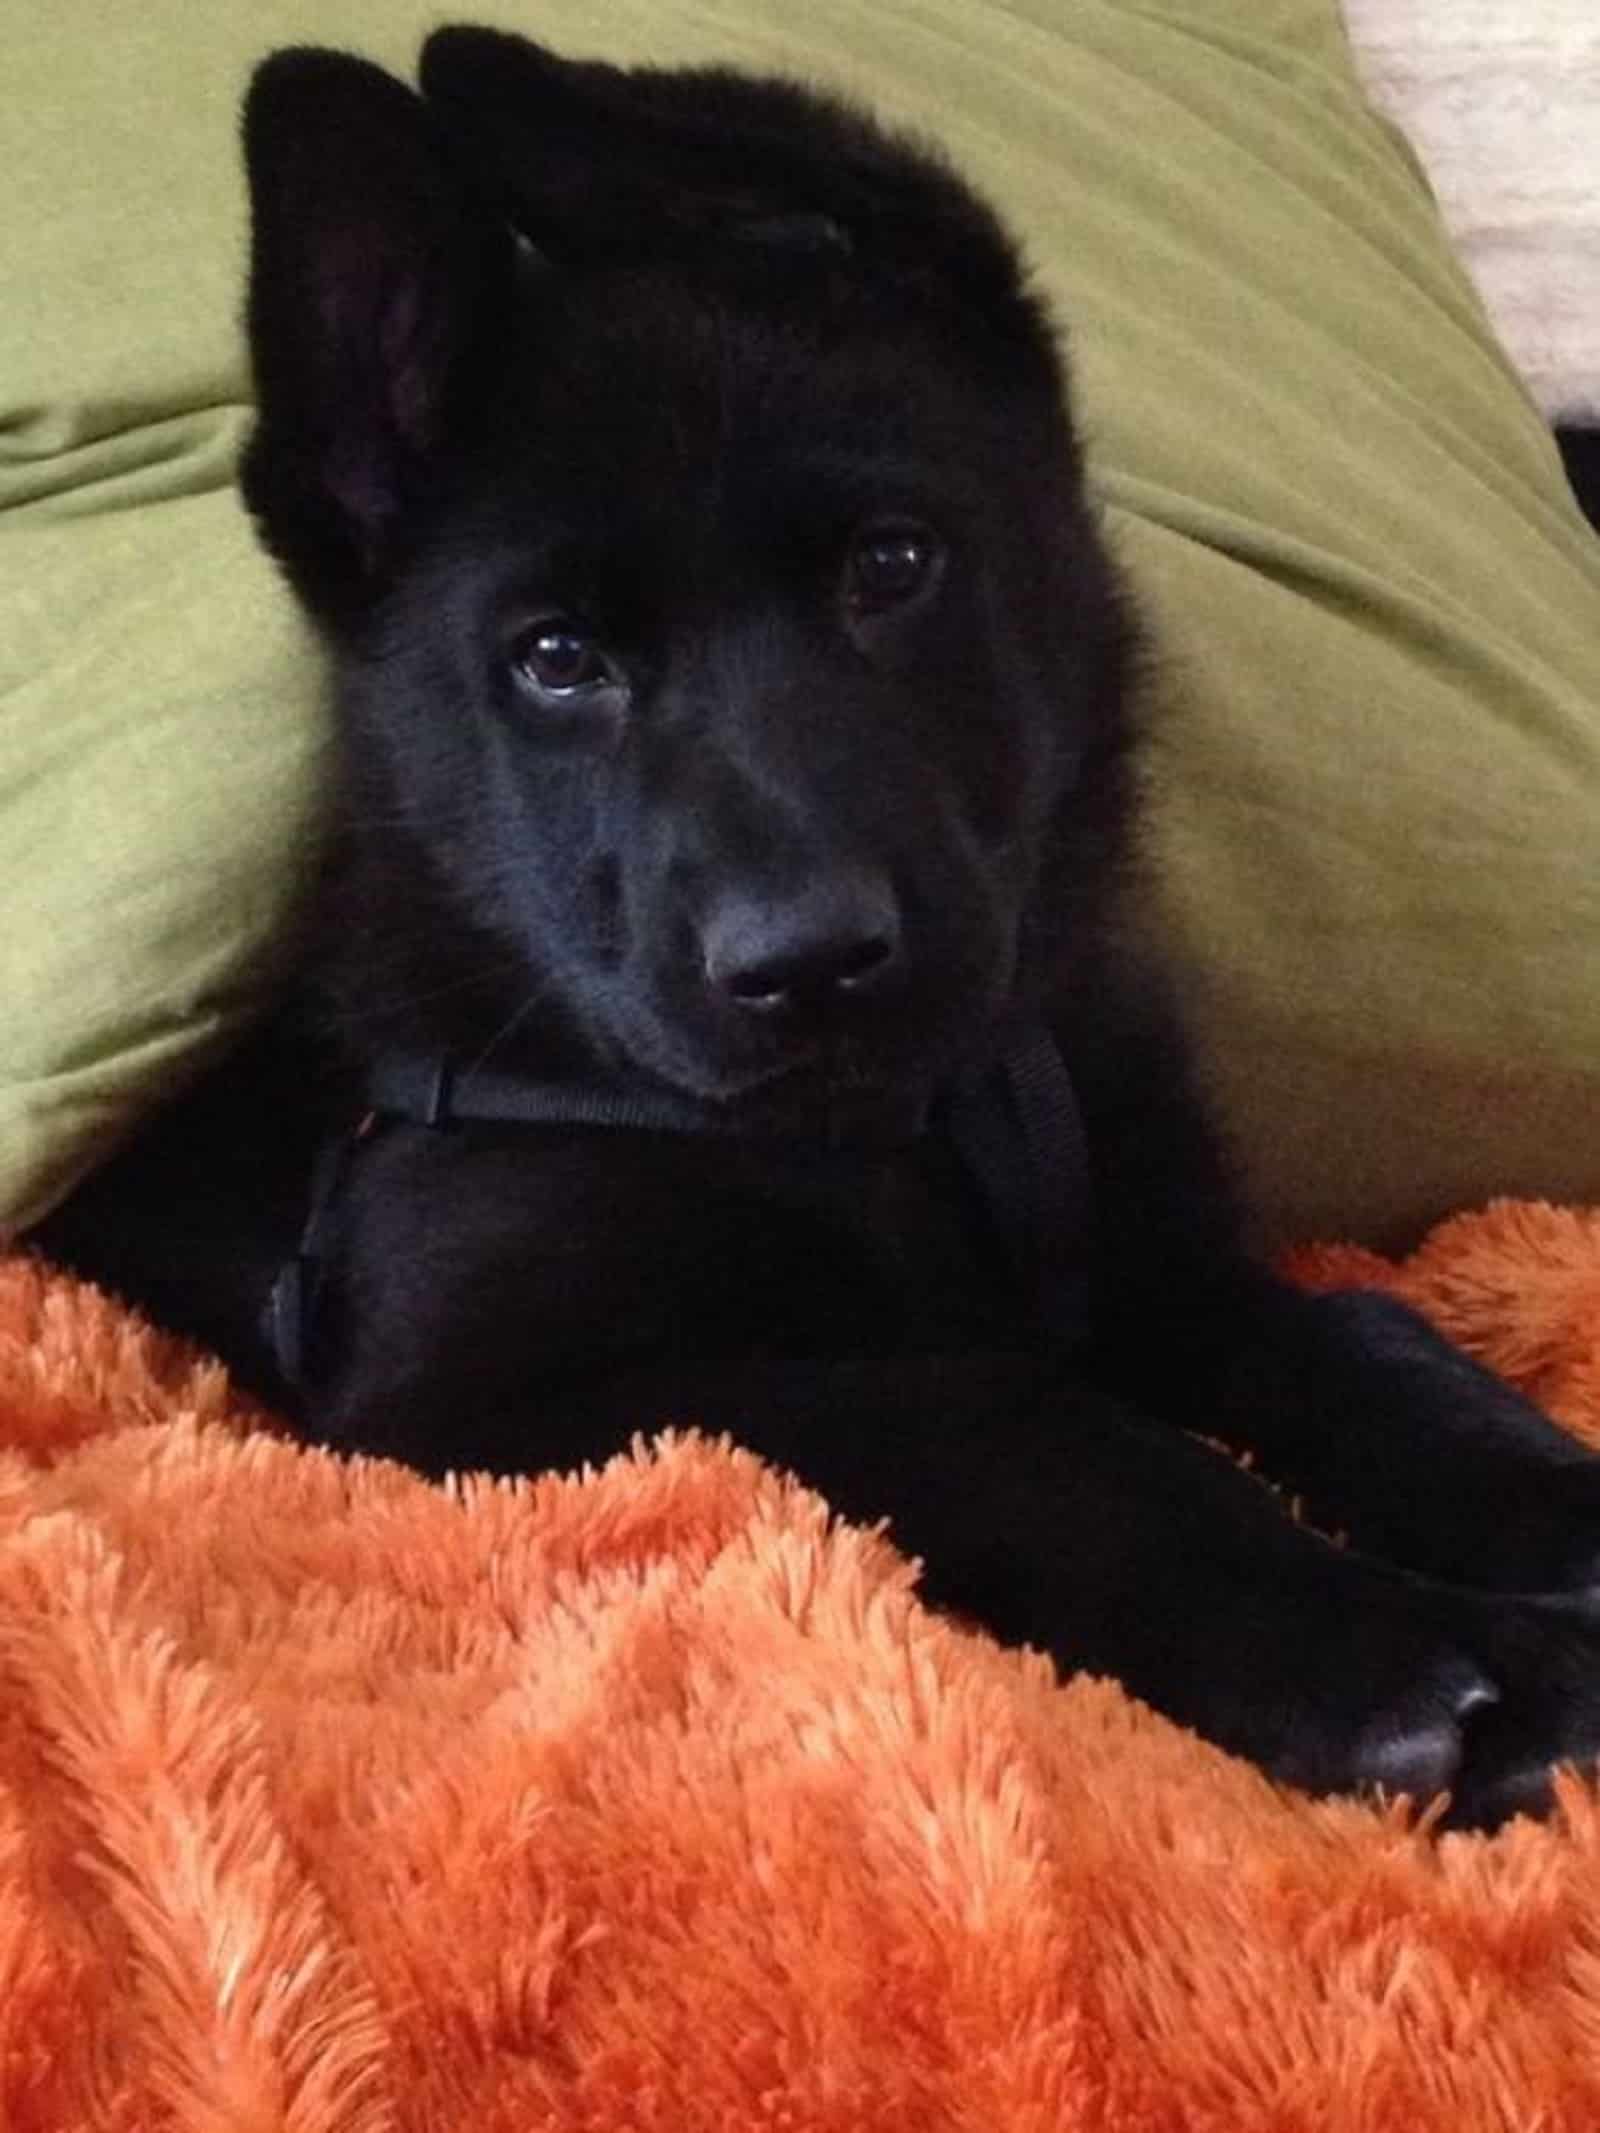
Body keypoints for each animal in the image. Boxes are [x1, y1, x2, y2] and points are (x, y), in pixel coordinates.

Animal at [34, 29, 1600, 1834]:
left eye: (893, 563)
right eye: (556, 659)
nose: (808, 961)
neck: (909, 1124)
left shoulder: (1159, 1244)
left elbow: (1359, 1330)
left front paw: (1542, 1502)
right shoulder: (494, 1394)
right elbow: (1002, 1413)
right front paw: (1393, 1648)